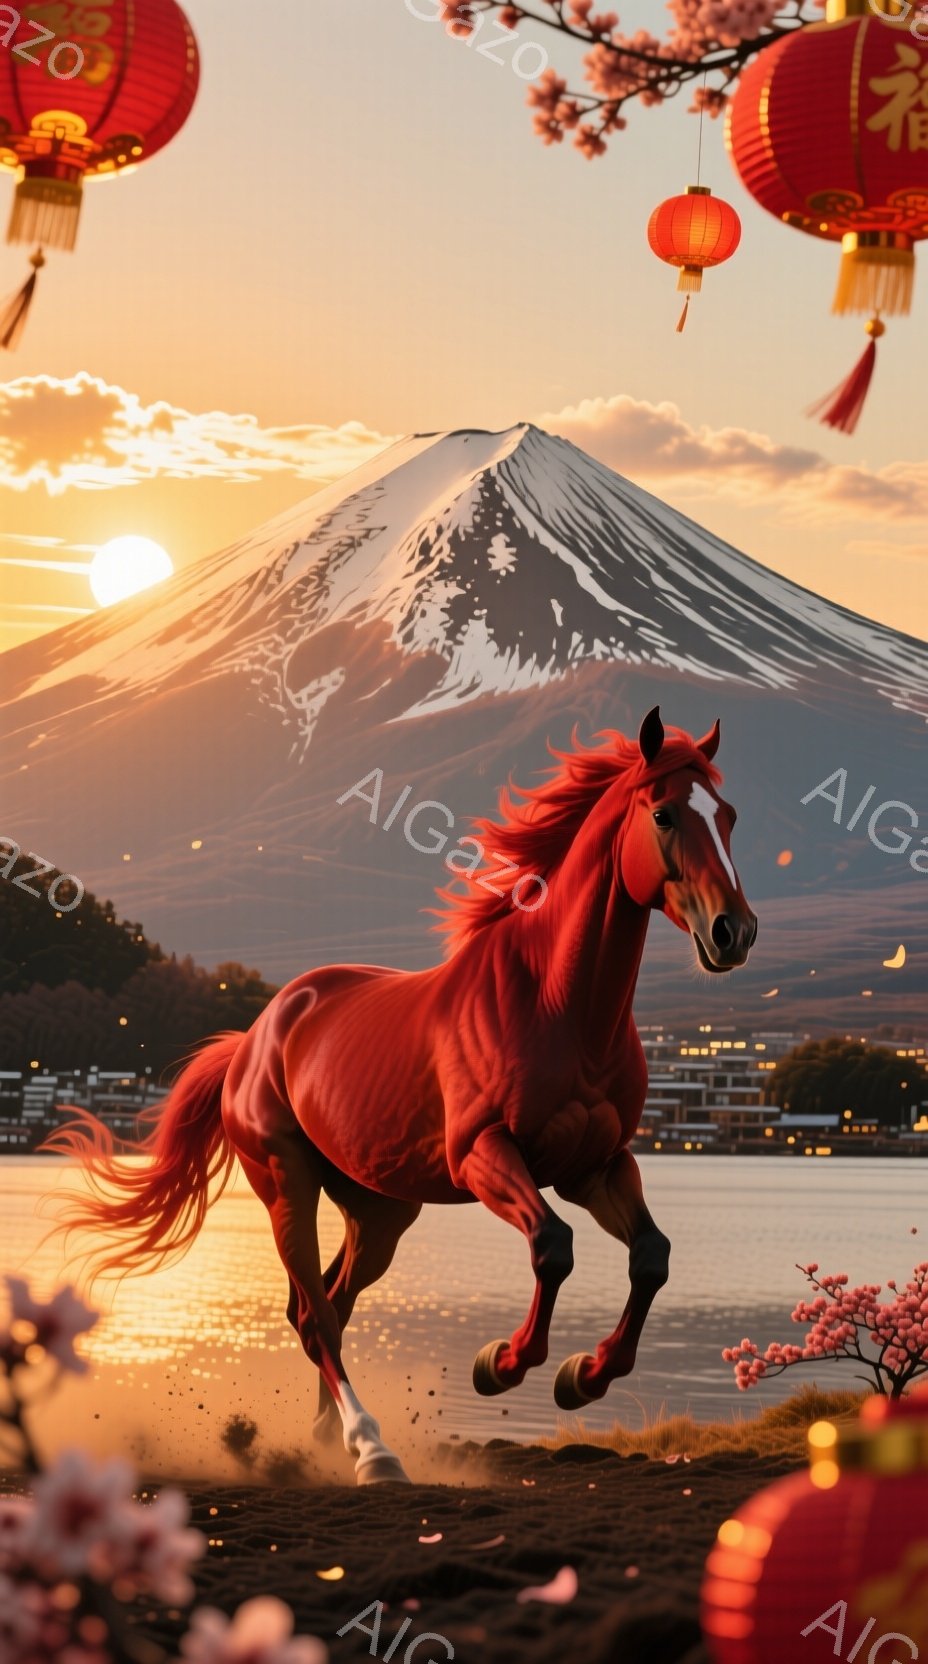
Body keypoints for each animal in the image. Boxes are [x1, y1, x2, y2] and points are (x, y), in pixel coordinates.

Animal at [49, 706, 757, 1485]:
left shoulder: (595, 1166)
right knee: (316, 1314)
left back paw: (327, 1440)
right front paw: (500, 1365)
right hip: (285, 1182)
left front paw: (583, 1376)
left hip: (380, 1209)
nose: (735, 932)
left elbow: (651, 1256)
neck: (560, 1006)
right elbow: (554, 1247)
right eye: (663, 814)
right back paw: (371, 1450)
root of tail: (256, 1034)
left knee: (330, 1302)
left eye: (727, 816)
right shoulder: (483, 1155)